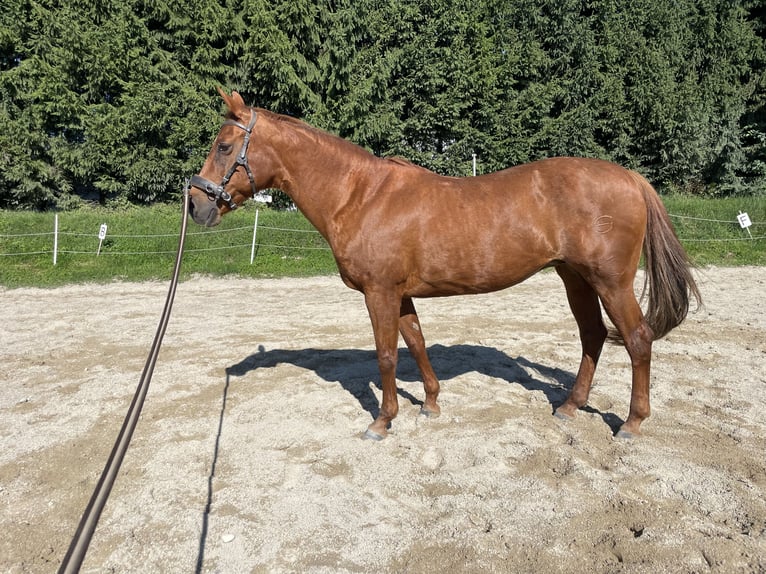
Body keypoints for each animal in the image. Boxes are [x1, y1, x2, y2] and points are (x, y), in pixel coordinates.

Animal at [188, 88, 701, 441]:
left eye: (223, 147)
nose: (196, 204)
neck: (360, 195)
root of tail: (631, 177)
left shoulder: (379, 292)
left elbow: (387, 354)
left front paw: (382, 421)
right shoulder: (400, 293)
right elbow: (416, 342)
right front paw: (430, 404)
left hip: (611, 281)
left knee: (637, 339)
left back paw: (632, 423)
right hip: (574, 277)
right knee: (593, 336)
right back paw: (570, 407)